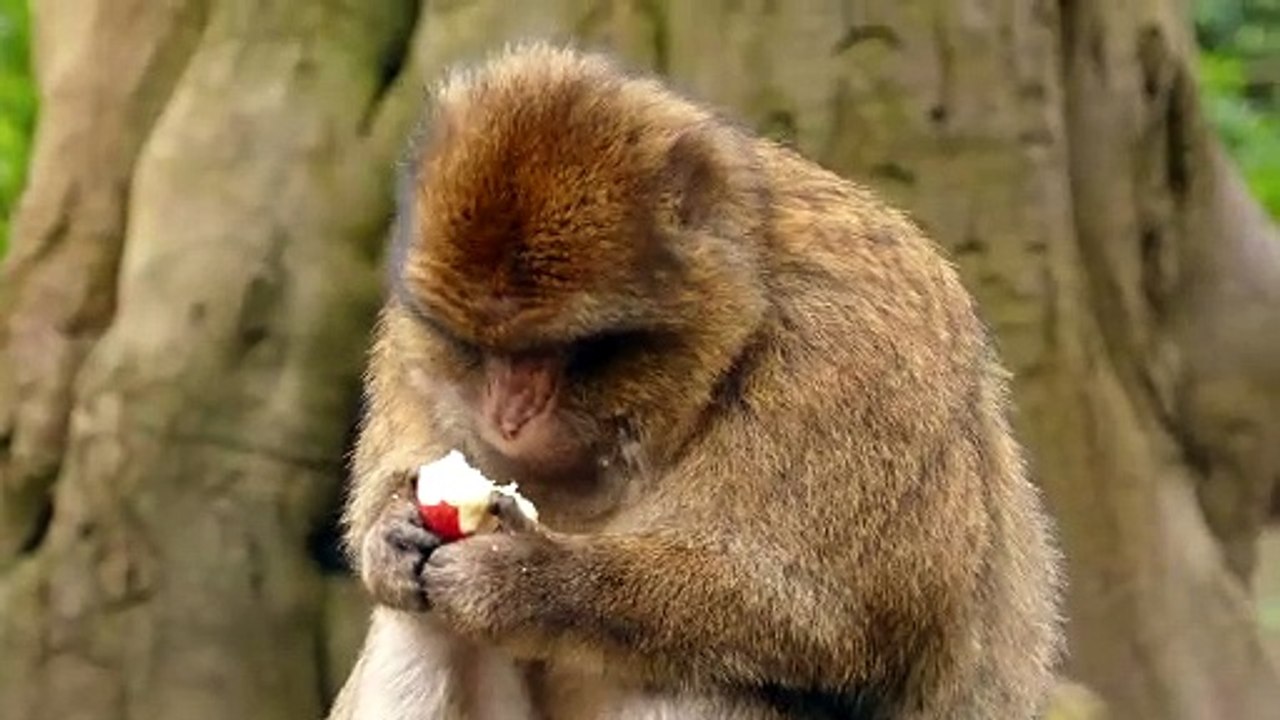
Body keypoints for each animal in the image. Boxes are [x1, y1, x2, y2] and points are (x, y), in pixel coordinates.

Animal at [327, 42, 1063, 720]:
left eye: (572, 351)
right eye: (475, 347)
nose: (508, 418)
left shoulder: (853, 354)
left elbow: (830, 621)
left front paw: (525, 578)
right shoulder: (406, 346)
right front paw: (391, 534)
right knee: (419, 620)